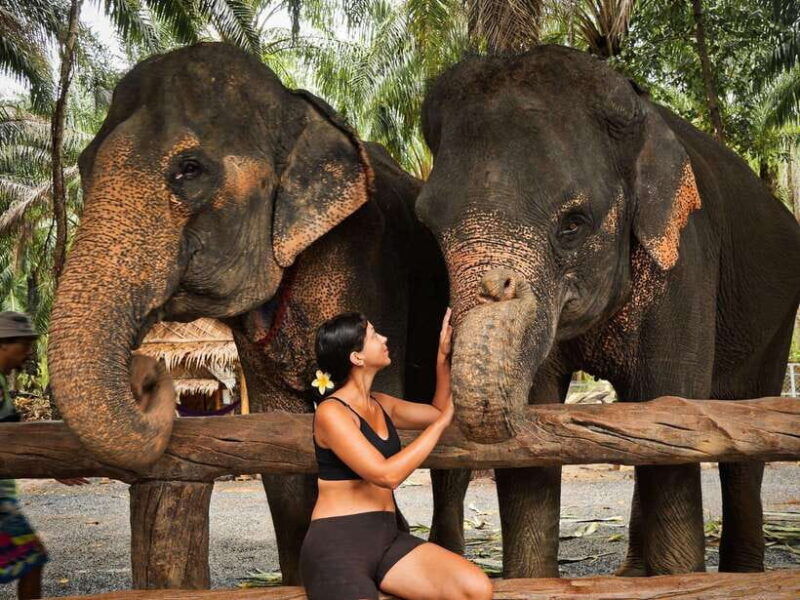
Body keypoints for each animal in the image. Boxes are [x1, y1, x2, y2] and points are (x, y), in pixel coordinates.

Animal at [47, 42, 469, 585]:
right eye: (82, 165)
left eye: (189, 169)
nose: (149, 377)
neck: (299, 109)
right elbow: (279, 446)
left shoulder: (370, 267)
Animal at [416, 45, 800, 578]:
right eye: (428, 227)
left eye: (573, 224)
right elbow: (540, 429)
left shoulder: (686, 261)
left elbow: (673, 406)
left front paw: (679, 579)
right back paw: (633, 574)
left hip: (775, 319)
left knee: (744, 434)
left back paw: (740, 575)